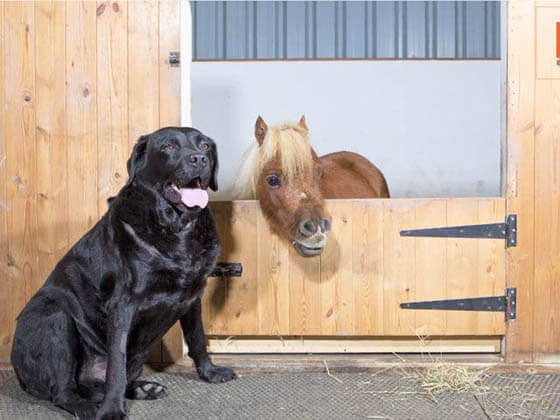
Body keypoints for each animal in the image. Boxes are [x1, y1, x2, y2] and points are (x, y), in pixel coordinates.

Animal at [11, 128, 234, 420]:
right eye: (169, 147)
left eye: (205, 145)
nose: (199, 159)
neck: (178, 229)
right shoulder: (123, 304)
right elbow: (116, 365)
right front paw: (112, 410)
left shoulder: (193, 296)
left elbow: (197, 337)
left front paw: (210, 372)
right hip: (55, 319)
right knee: (65, 391)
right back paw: (90, 406)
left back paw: (142, 388)